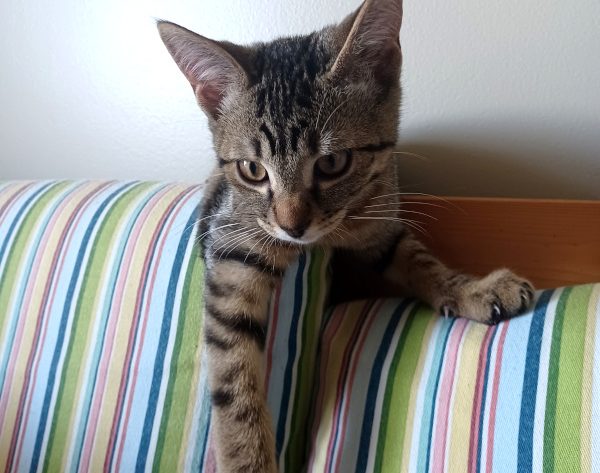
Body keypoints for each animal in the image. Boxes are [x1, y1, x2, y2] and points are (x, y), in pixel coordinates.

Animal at [156, 0, 536, 470]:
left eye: (333, 163)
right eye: (253, 170)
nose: (293, 226)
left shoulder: (379, 220)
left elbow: (420, 260)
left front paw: (472, 288)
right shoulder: (229, 248)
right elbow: (233, 374)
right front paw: (248, 457)